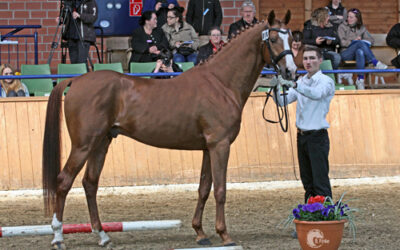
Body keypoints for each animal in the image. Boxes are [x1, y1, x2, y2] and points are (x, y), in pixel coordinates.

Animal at [42, 10, 296, 248]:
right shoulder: (220, 145)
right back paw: (57, 236)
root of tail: (77, 80)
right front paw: (225, 235)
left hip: (101, 143)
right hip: (83, 145)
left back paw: (103, 236)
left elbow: (204, 188)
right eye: (274, 38)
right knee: (64, 182)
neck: (220, 82)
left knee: (90, 183)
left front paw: (200, 233)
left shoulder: (208, 148)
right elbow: (220, 190)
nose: (291, 72)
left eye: (292, 38)